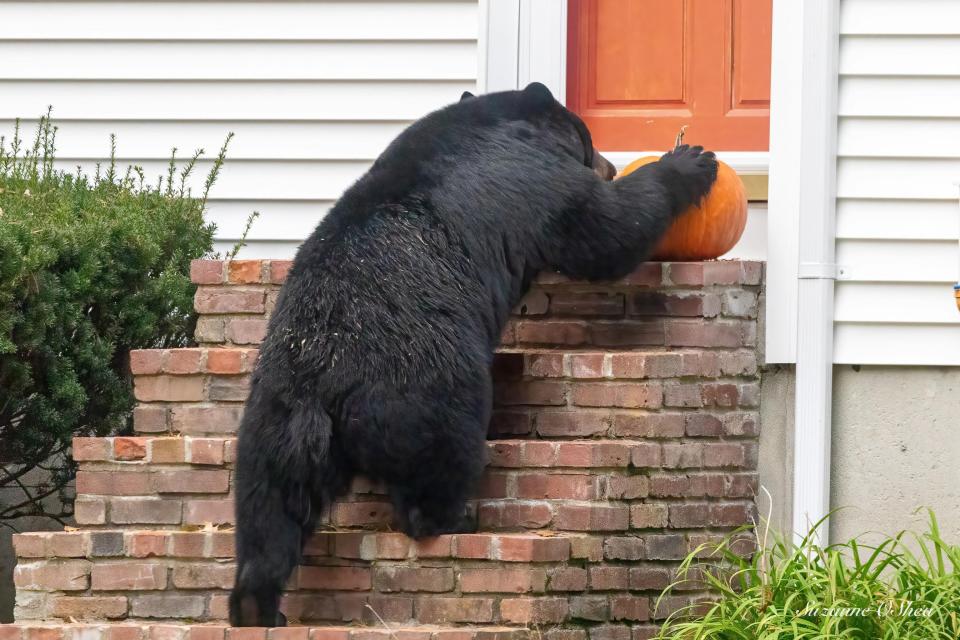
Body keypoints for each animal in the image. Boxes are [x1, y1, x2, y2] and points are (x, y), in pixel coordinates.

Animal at [229, 84, 716, 624]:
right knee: (442, 455)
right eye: (591, 142)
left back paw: (257, 604)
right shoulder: (535, 181)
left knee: (270, 509)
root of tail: (324, 381)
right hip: (429, 384)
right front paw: (691, 160)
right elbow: (605, 228)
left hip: (273, 424)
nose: (609, 164)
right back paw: (451, 518)